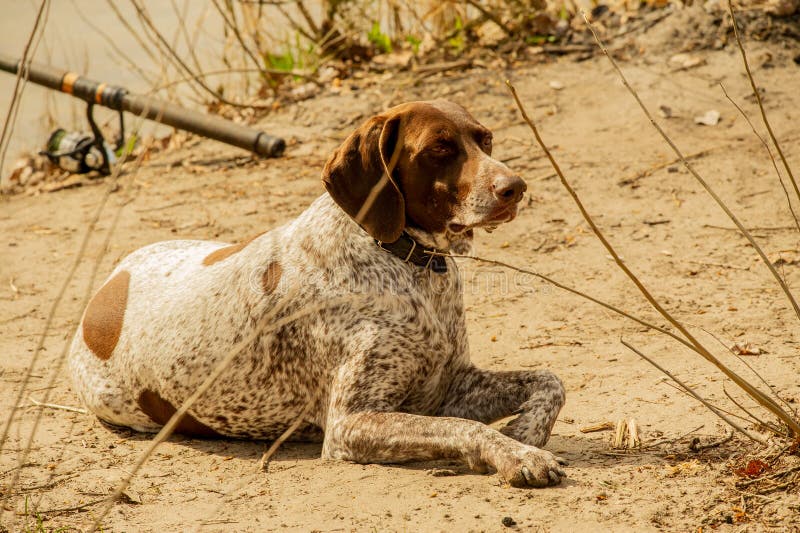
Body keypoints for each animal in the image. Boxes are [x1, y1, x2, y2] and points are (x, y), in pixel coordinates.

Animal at [70, 98, 568, 486]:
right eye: (439, 148)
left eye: (485, 140)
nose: (515, 188)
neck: (405, 260)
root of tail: (103, 292)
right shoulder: (352, 422)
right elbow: (464, 428)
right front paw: (518, 454)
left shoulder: (448, 385)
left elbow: (550, 380)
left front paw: (523, 434)